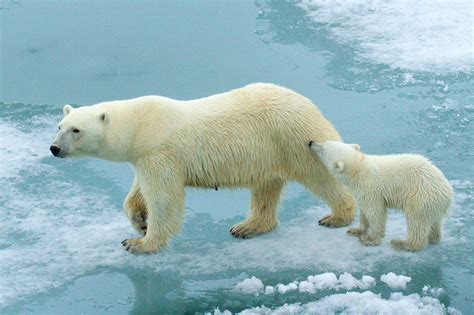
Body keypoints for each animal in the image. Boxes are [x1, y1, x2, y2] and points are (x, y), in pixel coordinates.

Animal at [51, 83, 356, 254]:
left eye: (76, 130)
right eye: (59, 126)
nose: (54, 148)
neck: (140, 126)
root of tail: (308, 103)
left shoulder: (160, 152)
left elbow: (164, 198)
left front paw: (139, 243)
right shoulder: (145, 157)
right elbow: (138, 192)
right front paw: (140, 221)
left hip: (293, 137)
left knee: (321, 175)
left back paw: (337, 216)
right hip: (269, 152)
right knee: (265, 188)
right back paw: (247, 226)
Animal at [310, 141, 454, 252]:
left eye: (323, 148)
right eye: (325, 141)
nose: (311, 142)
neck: (359, 167)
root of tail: (448, 192)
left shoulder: (370, 188)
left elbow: (375, 212)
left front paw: (370, 239)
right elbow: (364, 212)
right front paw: (356, 230)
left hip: (420, 196)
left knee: (416, 221)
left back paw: (402, 243)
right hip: (431, 202)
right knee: (433, 221)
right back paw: (433, 237)